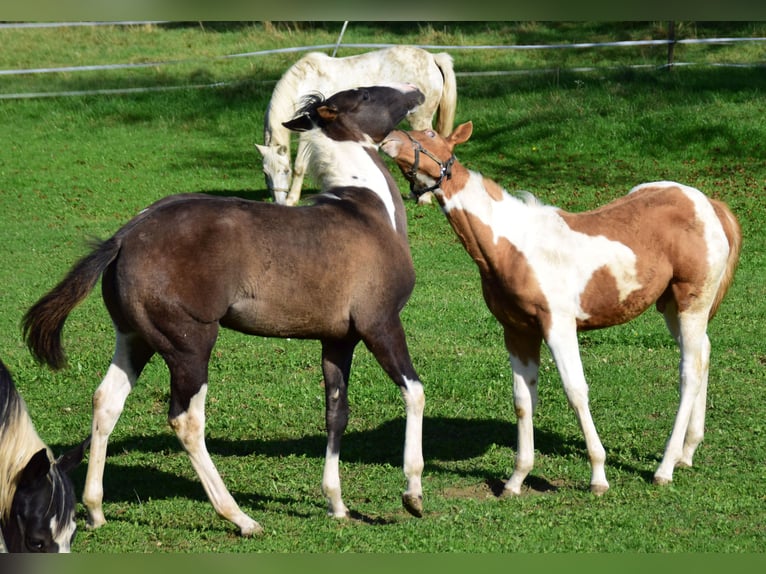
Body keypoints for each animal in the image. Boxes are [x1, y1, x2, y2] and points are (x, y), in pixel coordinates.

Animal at [24, 85, 428, 540]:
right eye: (366, 94)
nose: (415, 91)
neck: (367, 208)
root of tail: (124, 236)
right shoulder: (381, 324)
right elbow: (414, 391)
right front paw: (412, 494)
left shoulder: (337, 340)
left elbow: (335, 414)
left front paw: (337, 505)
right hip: (190, 345)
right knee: (186, 420)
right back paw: (240, 517)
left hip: (136, 339)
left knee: (106, 402)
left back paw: (95, 508)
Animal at [258, 45, 456, 207]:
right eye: (265, 173)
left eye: (286, 170)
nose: (279, 202)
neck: (303, 83)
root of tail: (433, 57)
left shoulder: (307, 134)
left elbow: (300, 167)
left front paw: (292, 199)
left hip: (420, 120)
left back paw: (425, 198)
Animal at [384, 122, 744, 500]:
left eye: (430, 135)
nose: (389, 138)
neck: (514, 245)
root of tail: (709, 204)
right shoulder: (518, 332)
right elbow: (523, 399)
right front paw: (516, 480)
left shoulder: (558, 327)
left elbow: (576, 391)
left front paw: (598, 476)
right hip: (671, 307)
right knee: (703, 353)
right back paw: (687, 453)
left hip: (692, 303)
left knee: (689, 373)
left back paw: (665, 467)